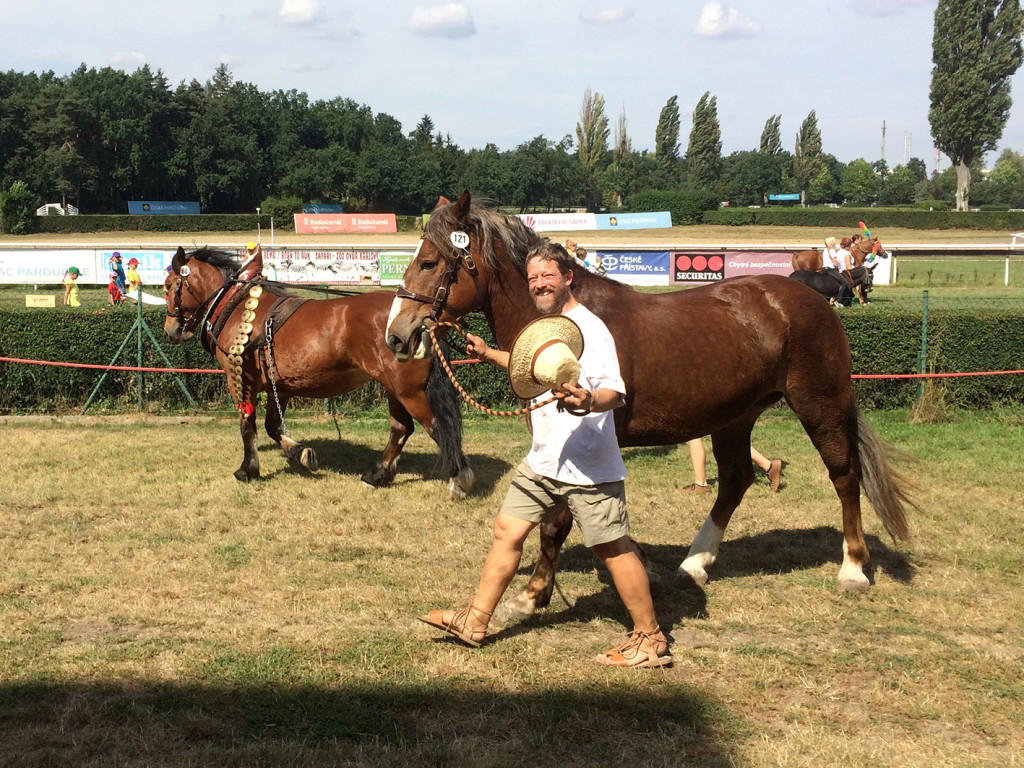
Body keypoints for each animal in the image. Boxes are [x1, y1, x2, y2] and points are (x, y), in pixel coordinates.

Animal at [164, 246, 475, 499]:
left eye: (169, 285)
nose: (171, 330)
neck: (240, 307)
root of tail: (426, 320)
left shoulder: (241, 379)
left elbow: (247, 426)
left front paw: (247, 469)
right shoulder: (281, 385)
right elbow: (273, 426)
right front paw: (301, 453)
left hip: (409, 391)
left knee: (437, 429)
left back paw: (459, 478)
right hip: (394, 388)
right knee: (401, 429)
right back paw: (378, 474)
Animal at [385, 192, 913, 614]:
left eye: (429, 262)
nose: (396, 334)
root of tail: (813, 298)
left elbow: (556, 522)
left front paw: (531, 595)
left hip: (820, 405)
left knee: (845, 475)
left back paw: (852, 568)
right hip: (735, 417)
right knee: (736, 480)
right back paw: (695, 562)